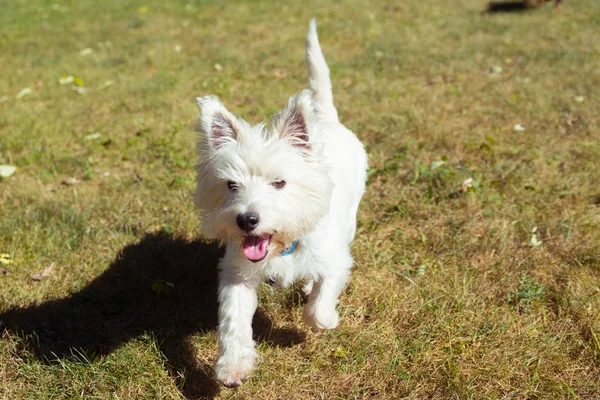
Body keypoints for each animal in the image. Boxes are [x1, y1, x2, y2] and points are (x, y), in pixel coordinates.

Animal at [195, 19, 368, 388]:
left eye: (279, 182)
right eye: (231, 185)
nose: (247, 220)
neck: (284, 248)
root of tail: (326, 119)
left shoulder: (335, 259)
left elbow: (320, 302)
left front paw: (324, 318)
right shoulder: (237, 273)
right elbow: (233, 320)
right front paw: (233, 366)